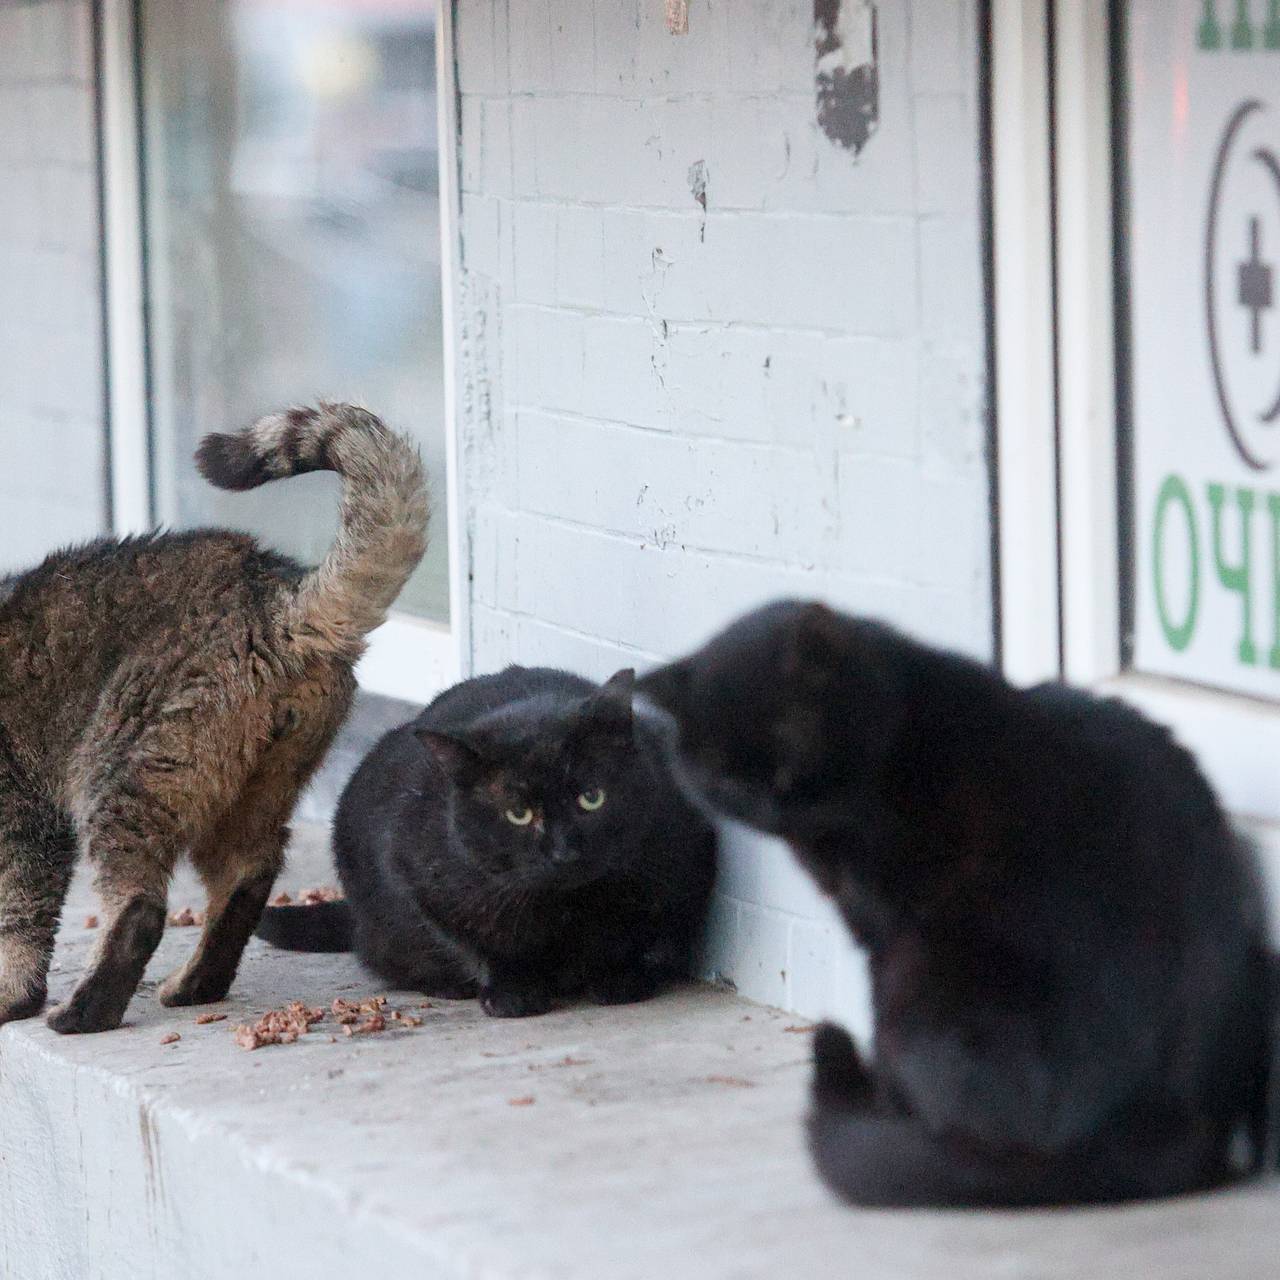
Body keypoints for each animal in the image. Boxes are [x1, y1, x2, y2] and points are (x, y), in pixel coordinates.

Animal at [254, 665, 716, 1013]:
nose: (564, 851)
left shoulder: (674, 862)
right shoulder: (418, 875)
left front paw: (619, 977)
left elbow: (630, 932)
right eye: (518, 813)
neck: (564, 909)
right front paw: (513, 992)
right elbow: (477, 943)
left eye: (591, 797)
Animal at [640, 599, 1269, 1208]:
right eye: (726, 779)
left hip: (921, 977)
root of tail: (1158, 1129)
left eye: (792, 745)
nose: (774, 801)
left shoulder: (883, 926)